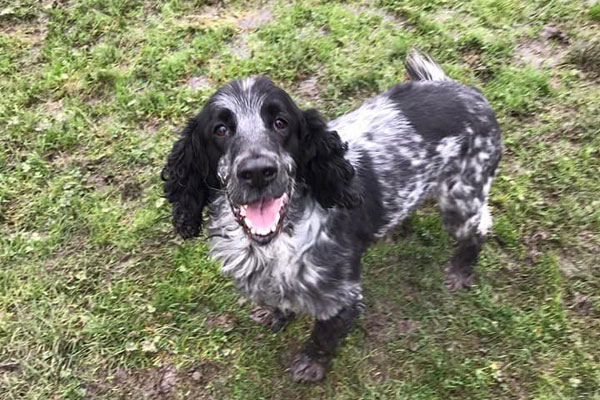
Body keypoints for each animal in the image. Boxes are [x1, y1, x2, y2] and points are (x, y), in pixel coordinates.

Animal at [161, 51, 502, 382]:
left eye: (281, 123)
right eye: (220, 129)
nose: (257, 171)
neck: (275, 243)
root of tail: (464, 90)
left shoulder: (342, 298)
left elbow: (324, 336)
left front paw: (311, 365)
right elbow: (279, 303)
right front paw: (275, 315)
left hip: (461, 197)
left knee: (480, 227)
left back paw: (460, 271)